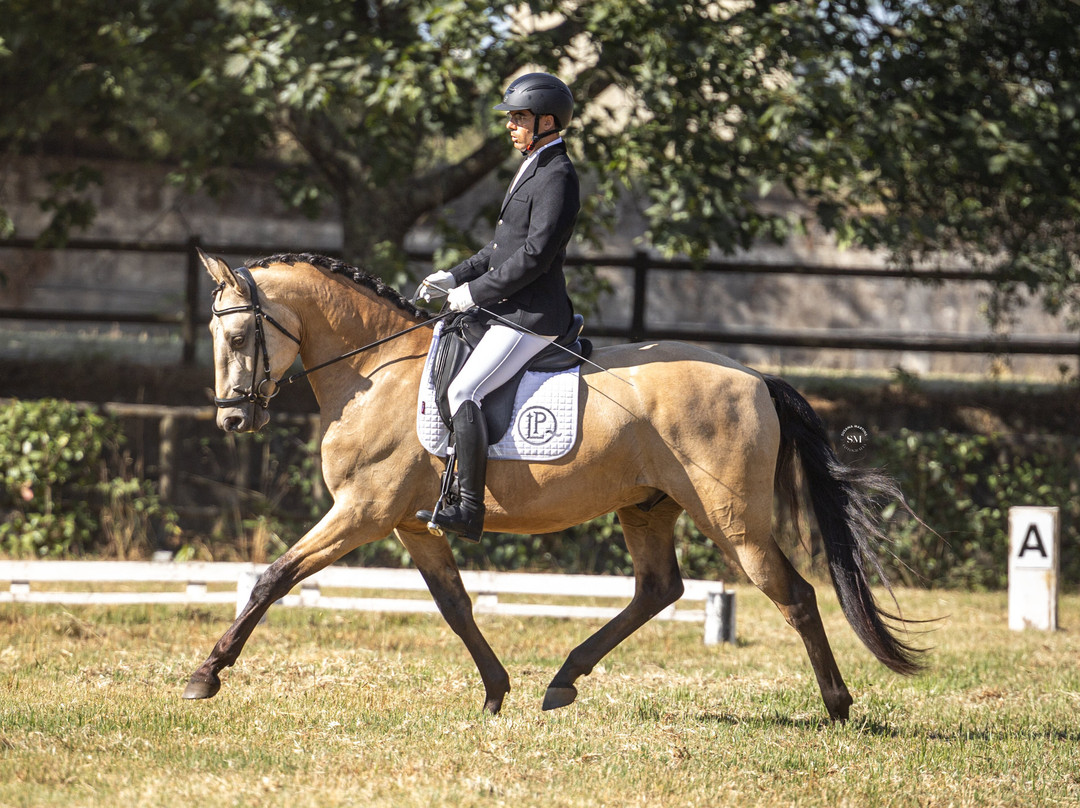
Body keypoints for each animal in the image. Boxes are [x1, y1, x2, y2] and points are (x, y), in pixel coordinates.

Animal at [182, 250, 924, 721]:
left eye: (241, 334)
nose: (232, 418)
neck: (378, 369)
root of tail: (755, 378)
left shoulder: (362, 511)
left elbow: (273, 577)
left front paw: (204, 675)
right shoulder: (412, 523)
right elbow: (455, 606)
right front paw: (495, 690)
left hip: (732, 520)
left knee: (793, 594)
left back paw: (837, 706)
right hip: (647, 508)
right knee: (659, 589)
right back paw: (563, 681)